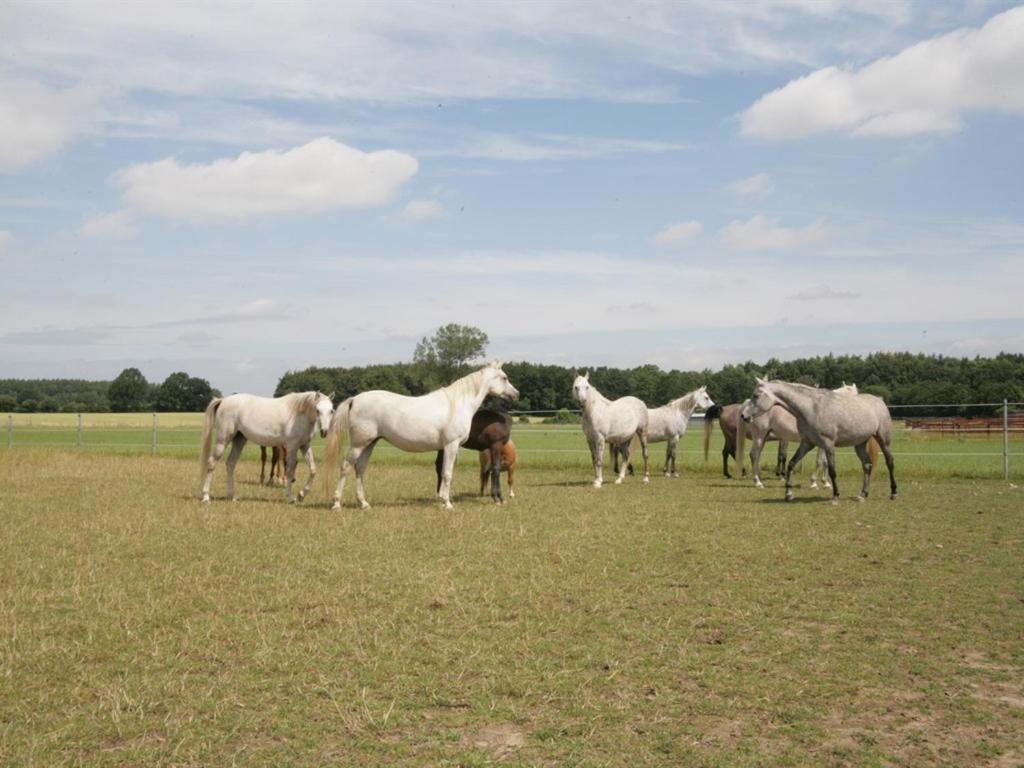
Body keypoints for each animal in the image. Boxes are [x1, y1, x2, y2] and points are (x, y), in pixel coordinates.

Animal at [201, 391, 337, 505]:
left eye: (331, 411)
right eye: (317, 410)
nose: (324, 431)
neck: (299, 414)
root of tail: (223, 400)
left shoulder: (304, 446)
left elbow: (313, 470)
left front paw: (301, 495)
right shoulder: (292, 447)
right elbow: (289, 470)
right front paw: (290, 497)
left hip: (239, 440)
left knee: (230, 464)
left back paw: (231, 496)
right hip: (223, 440)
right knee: (212, 463)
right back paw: (206, 497)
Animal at [325, 364, 520, 514]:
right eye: (504, 378)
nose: (516, 393)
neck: (457, 404)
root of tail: (355, 399)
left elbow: (443, 472)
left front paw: (442, 499)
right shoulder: (451, 445)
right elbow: (447, 474)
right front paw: (447, 503)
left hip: (369, 443)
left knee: (360, 469)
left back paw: (364, 504)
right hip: (359, 444)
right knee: (345, 467)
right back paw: (337, 504)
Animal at [741, 378, 901, 505]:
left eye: (756, 395)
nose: (744, 415)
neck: (812, 408)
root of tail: (880, 401)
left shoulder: (827, 444)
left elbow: (831, 469)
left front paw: (834, 496)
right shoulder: (807, 443)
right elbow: (792, 464)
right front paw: (789, 494)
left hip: (883, 439)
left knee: (890, 462)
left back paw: (893, 493)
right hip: (860, 444)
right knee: (867, 465)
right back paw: (862, 495)